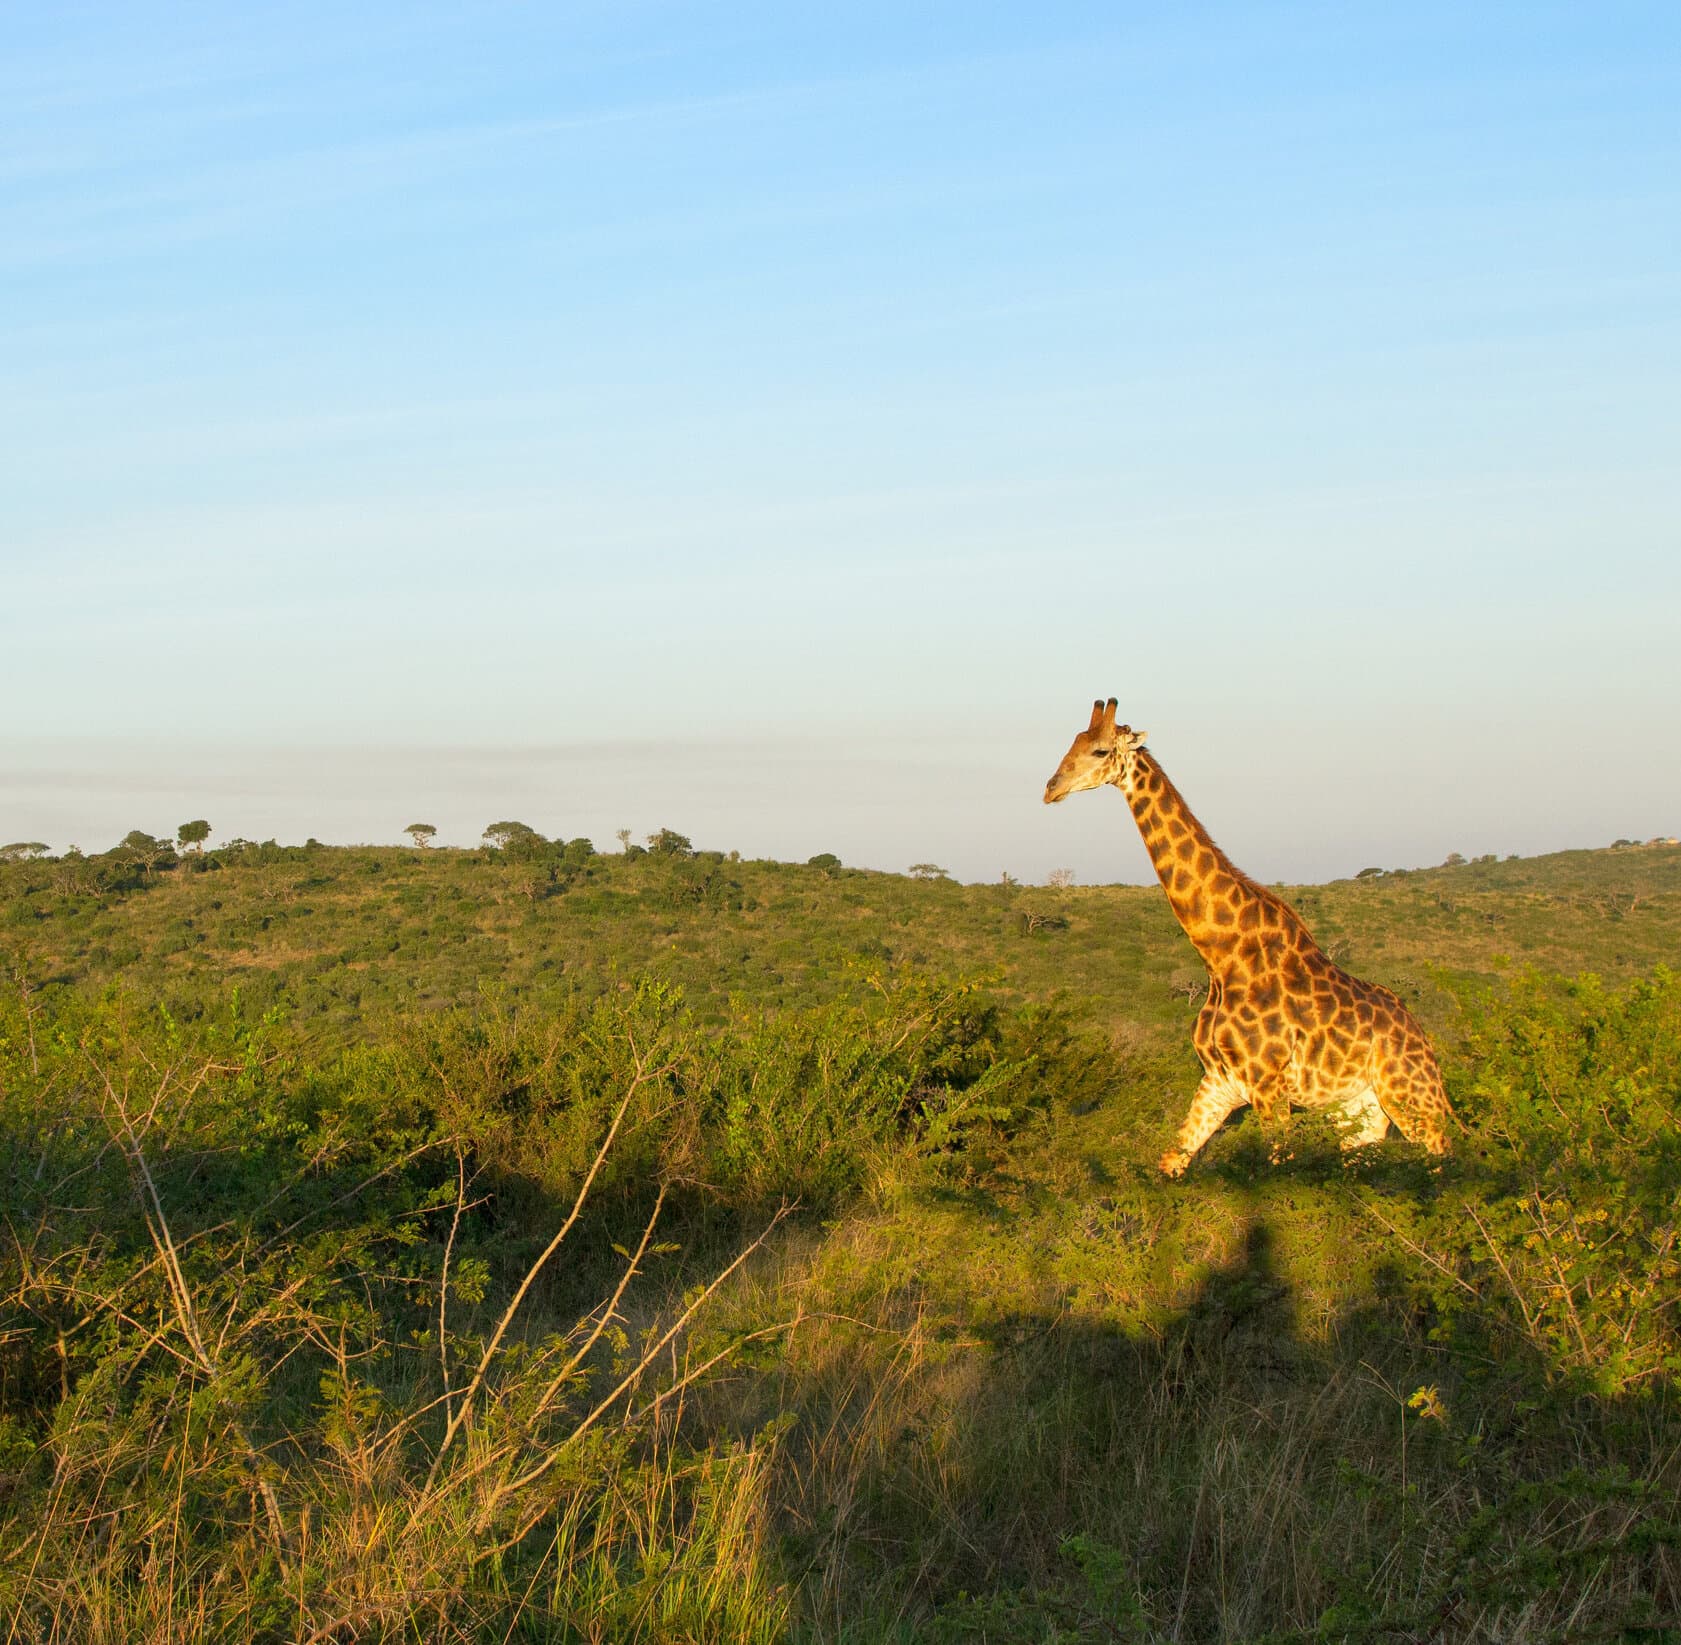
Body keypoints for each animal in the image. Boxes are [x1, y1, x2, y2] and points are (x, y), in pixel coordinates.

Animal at [1043, 699, 1453, 1175]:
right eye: (1073, 742)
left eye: (1100, 750)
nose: (1051, 788)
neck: (1221, 954)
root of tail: (1422, 1037)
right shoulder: (1220, 1083)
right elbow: (1170, 1163)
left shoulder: (1268, 1084)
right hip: (1361, 1110)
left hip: (1413, 1098)